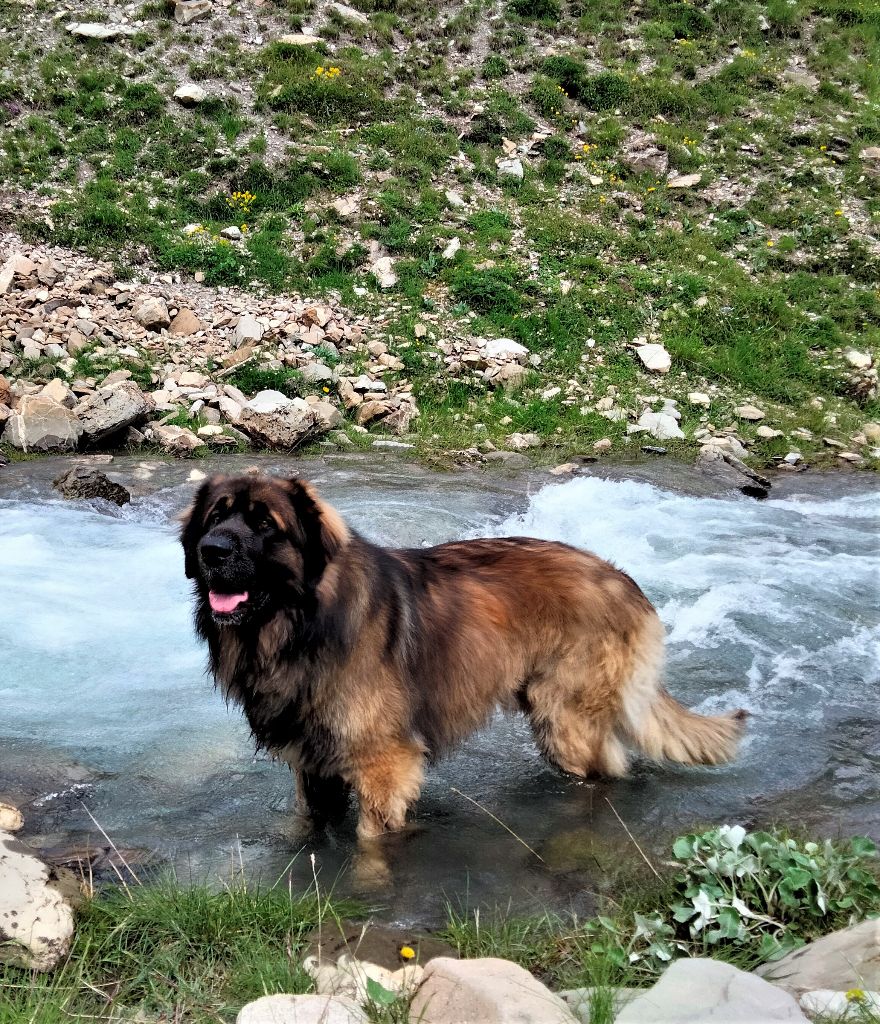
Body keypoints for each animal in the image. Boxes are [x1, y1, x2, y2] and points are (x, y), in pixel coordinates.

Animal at [182, 475, 745, 835]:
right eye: (215, 517)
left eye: (266, 525)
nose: (212, 551)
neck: (301, 626)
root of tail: (625, 580)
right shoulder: (313, 765)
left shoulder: (384, 765)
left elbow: (369, 837)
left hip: (566, 720)